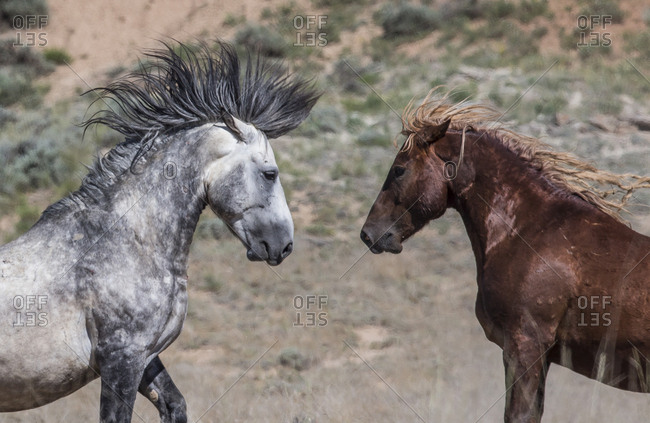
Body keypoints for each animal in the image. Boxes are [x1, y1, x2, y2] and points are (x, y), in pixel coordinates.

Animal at [0, 42, 318, 423]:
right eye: (270, 173)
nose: (283, 245)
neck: (129, 242)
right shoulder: (122, 357)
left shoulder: (146, 356)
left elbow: (174, 404)